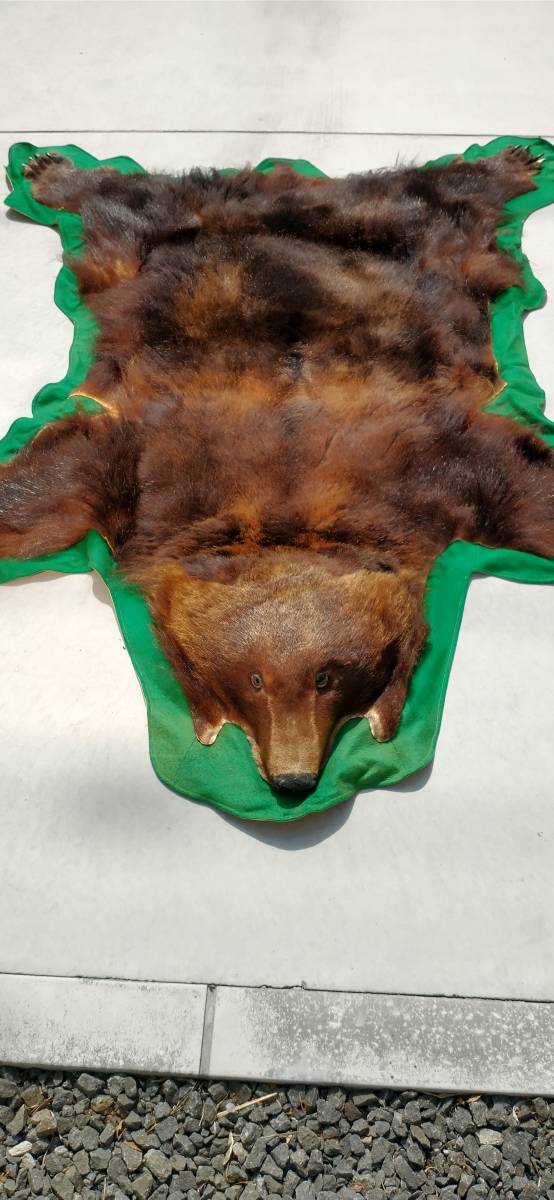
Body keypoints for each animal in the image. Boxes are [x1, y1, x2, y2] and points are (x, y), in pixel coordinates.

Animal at [0, 146, 553, 793]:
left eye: (328, 676)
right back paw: (49, 168)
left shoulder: (435, 471)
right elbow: (56, 487)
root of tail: (283, 186)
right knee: (122, 202)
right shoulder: (143, 473)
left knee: (445, 193)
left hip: (424, 235)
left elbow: (519, 486)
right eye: (254, 678)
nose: (294, 780)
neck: (285, 513)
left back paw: (515, 161)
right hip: (150, 242)